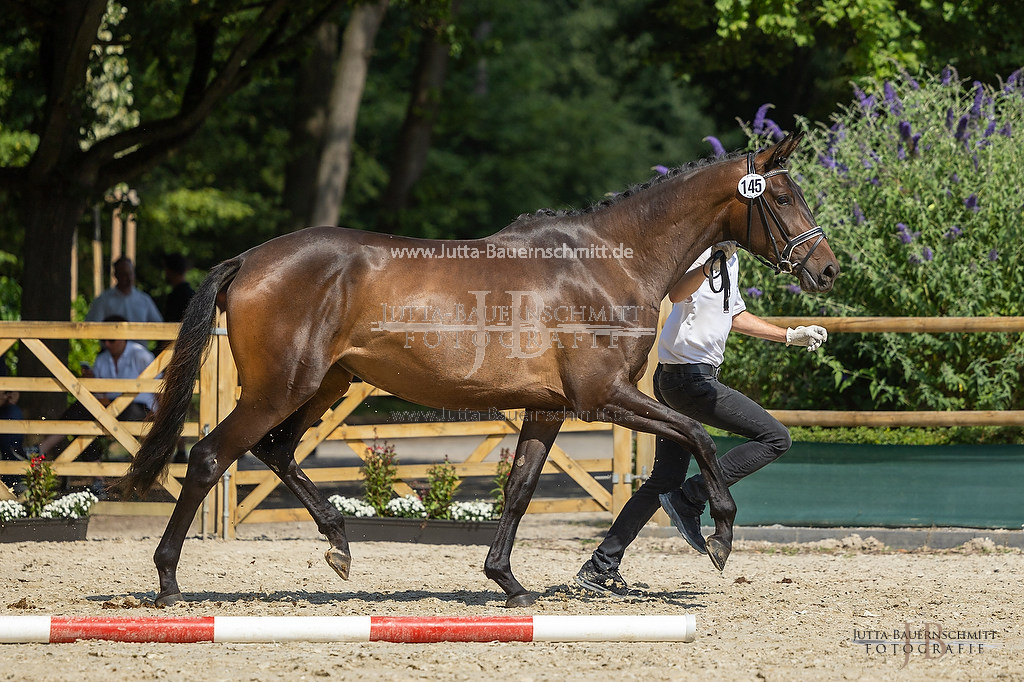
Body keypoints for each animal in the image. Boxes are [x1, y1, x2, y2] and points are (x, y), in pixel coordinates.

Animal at [117, 131, 839, 606]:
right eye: (781, 196)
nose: (827, 269)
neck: (606, 262)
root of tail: (248, 260)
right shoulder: (602, 396)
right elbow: (699, 436)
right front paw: (719, 534)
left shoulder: (549, 408)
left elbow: (518, 490)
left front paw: (508, 582)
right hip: (280, 388)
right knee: (210, 457)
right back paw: (169, 581)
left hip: (323, 385)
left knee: (275, 451)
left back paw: (339, 545)